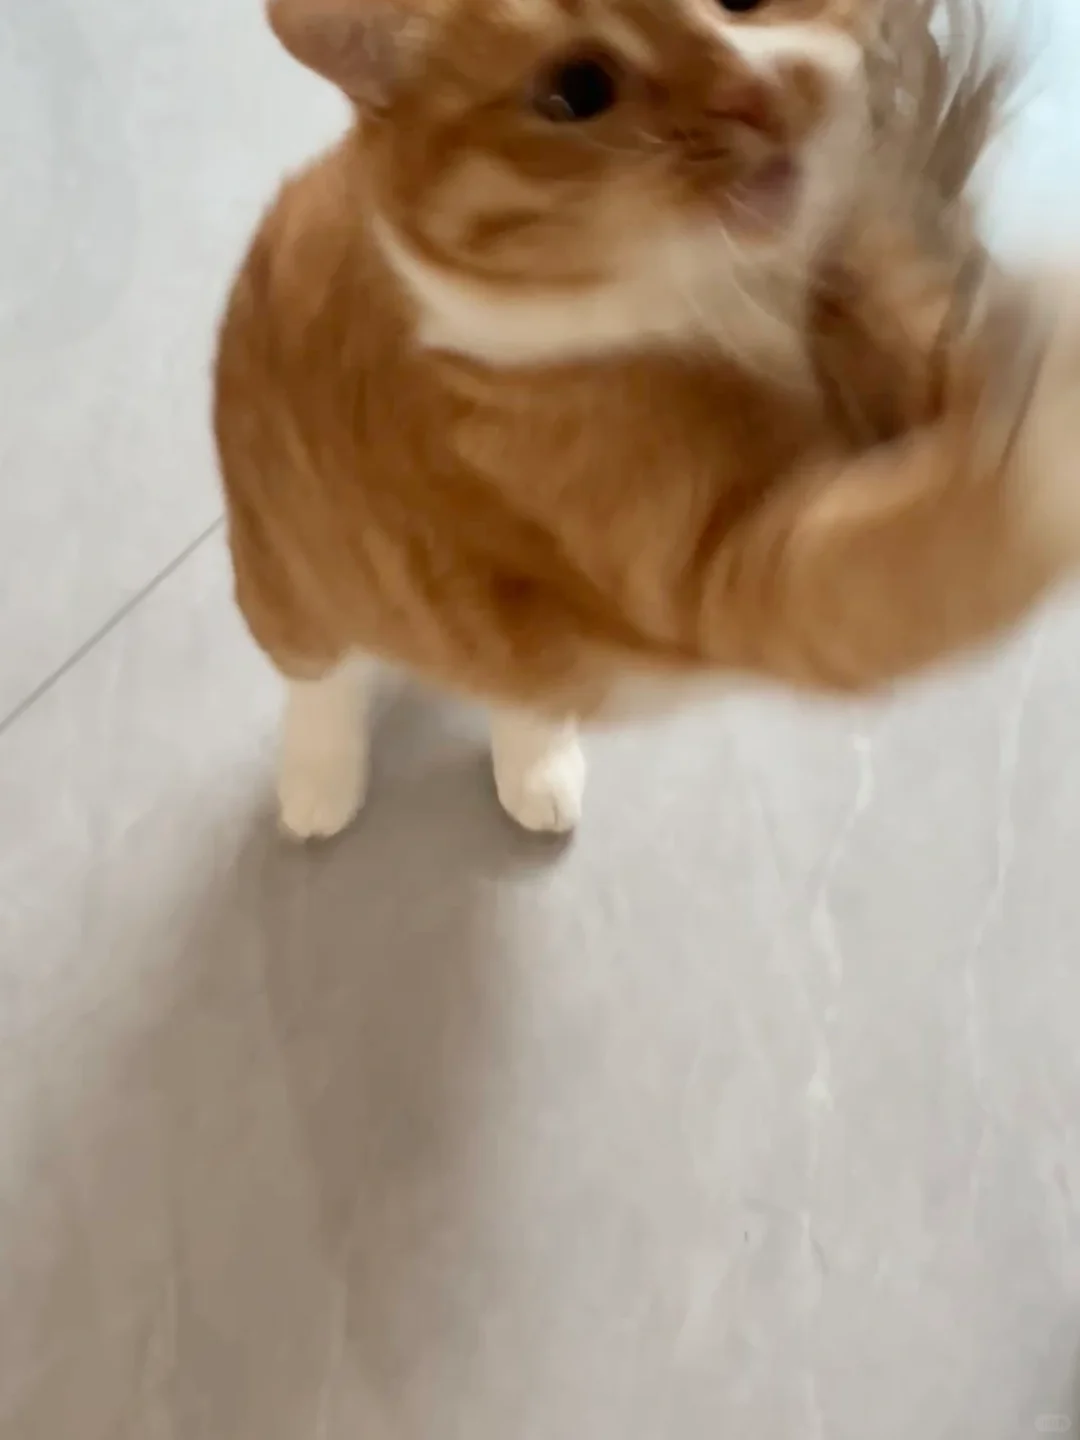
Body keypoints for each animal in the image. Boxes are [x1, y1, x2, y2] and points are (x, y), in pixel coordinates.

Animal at [214, 0, 1080, 839]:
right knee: (321, 677)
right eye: (577, 91)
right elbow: (933, 540)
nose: (758, 93)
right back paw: (321, 786)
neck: (743, 304)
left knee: (514, 680)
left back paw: (536, 767)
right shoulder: (727, 572)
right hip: (285, 585)